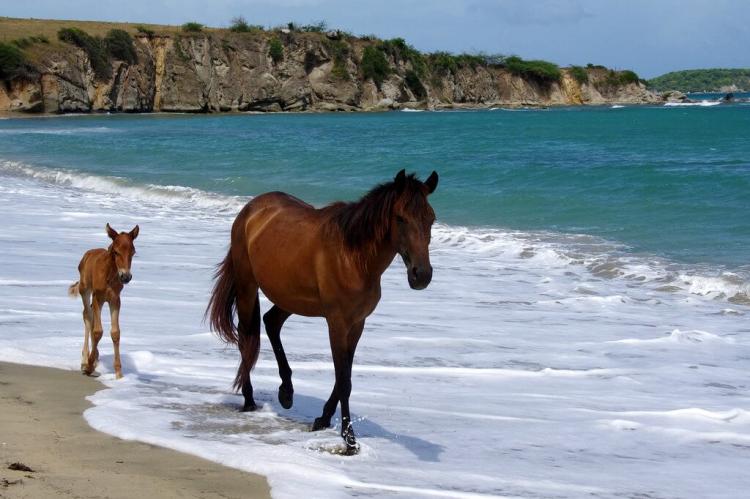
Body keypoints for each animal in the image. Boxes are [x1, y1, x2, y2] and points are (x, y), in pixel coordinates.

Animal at [68, 224, 139, 379]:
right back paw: (85, 361)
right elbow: (97, 331)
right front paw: (88, 366)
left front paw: (119, 373)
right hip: (85, 290)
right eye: (116, 252)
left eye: (133, 252)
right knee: (87, 316)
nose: (126, 277)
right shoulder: (98, 297)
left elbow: (115, 333)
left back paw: (95, 358)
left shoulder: (115, 300)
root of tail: (87, 254)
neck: (110, 275)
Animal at [207, 169, 438, 454]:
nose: (421, 275)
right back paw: (249, 399)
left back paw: (286, 392)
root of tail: (251, 210)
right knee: (246, 337)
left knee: (271, 322)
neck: (354, 258)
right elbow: (344, 380)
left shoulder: (357, 324)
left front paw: (323, 419)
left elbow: (343, 377)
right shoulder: (337, 322)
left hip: (289, 297)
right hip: (247, 287)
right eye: (400, 218)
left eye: (431, 219)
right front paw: (349, 440)